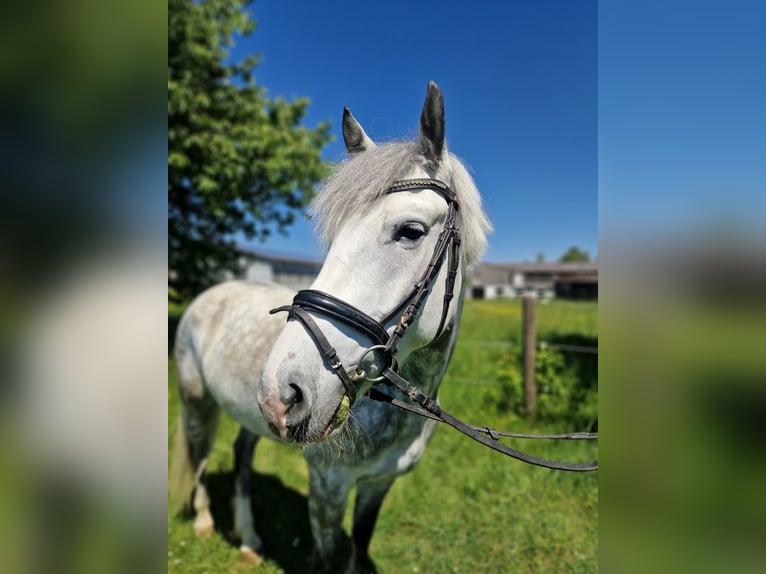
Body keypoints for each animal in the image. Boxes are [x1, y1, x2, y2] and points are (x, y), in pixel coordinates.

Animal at [171, 81, 491, 573]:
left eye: (411, 231)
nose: (284, 392)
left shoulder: (377, 486)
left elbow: (359, 543)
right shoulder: (327, 487)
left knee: (240, 454)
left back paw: (249, 537)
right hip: (196, 403)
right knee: (199, 453)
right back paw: (206, 520)